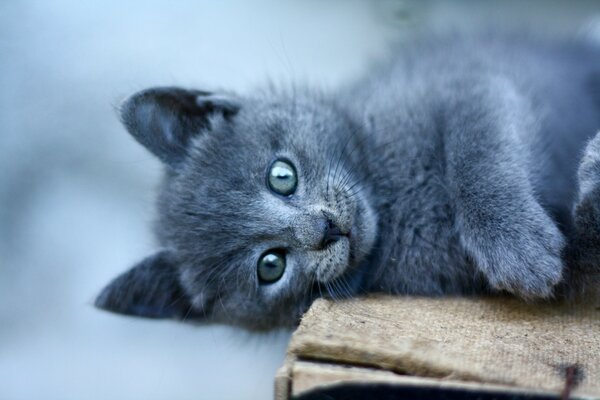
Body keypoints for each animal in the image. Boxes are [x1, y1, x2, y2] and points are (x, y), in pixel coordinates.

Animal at [95, 32, 600, 330]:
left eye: (281, 175)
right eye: (270, 265)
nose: (324, 229)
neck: (392, 199)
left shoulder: (468, 83)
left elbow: (477, 149)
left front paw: (516, 246)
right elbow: (579, 263)